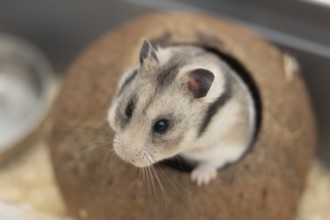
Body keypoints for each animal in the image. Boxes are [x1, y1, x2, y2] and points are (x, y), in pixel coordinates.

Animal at [107, 40, 256, 186]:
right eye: (129, 109)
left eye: (162, 125)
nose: (125, 157)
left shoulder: (230, 146)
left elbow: (213, 161)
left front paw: (199, 180)